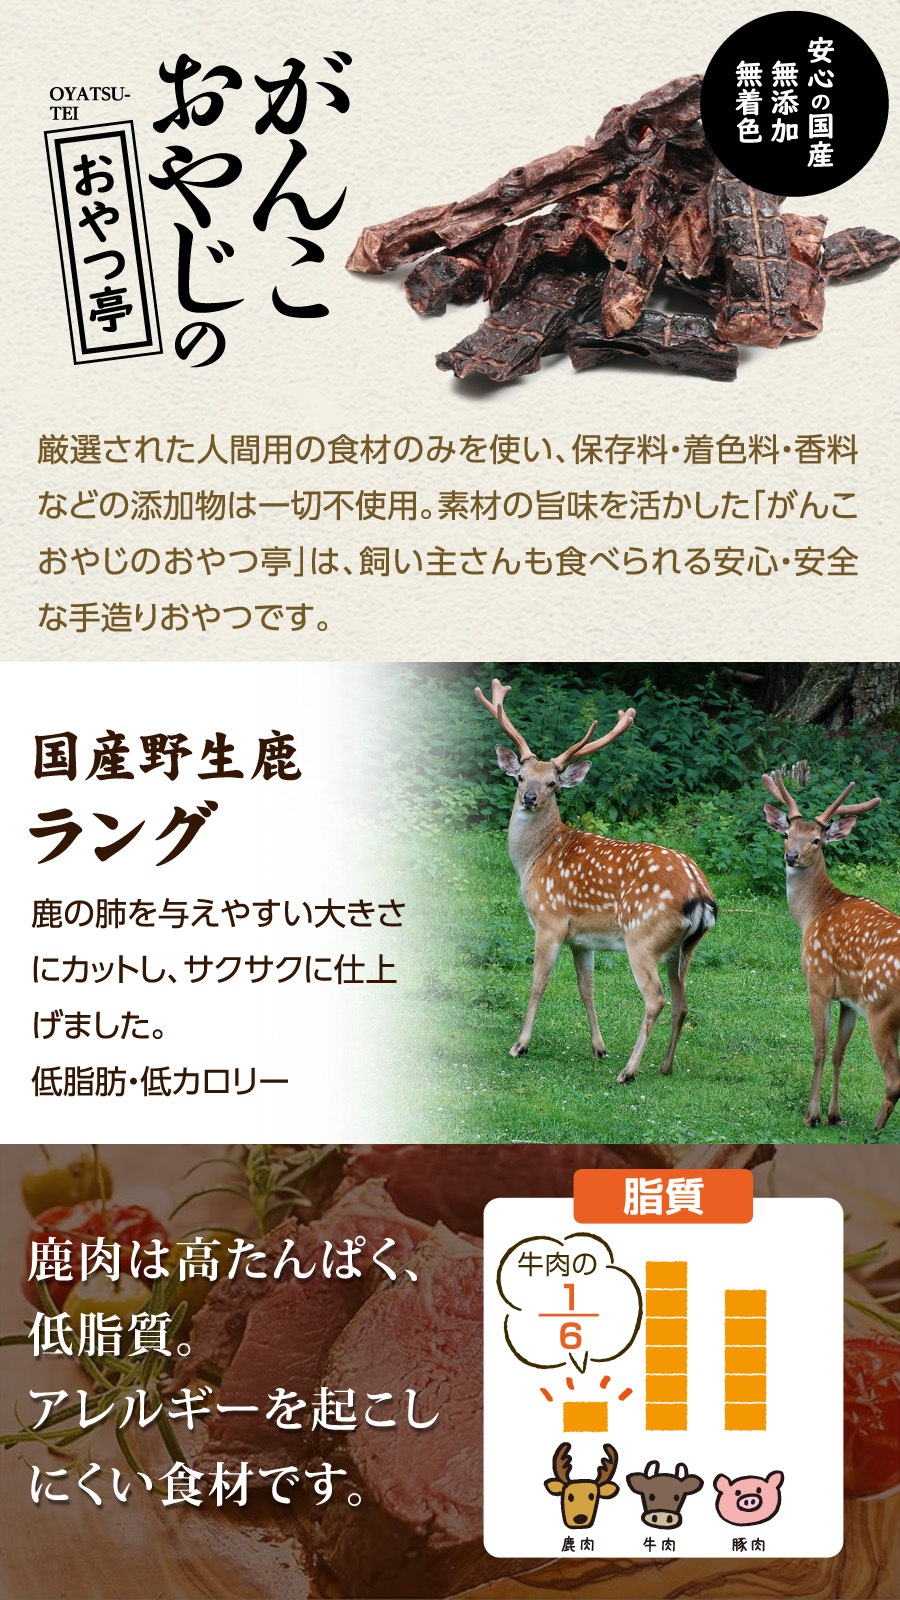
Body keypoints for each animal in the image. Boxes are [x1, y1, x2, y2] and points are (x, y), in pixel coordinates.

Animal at [475, 679, 717, 1081]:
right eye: (521, 777)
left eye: (553, 784)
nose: (529, 798)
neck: (534, 860)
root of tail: (701, 895)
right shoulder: (581, 938)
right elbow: (586, 988)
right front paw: (599, 1048)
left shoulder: (550, 921)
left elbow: (537, 984)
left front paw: (519, 1045)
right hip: (683, 948)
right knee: (682, 1002)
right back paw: (664, 1066)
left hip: (643, 937)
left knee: (656, 999)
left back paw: (629, 1071)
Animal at [762, 768, 900, 1132]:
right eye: (786, 834)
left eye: (816, 840)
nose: (791, 856)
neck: (814, 912)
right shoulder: (850, 1000)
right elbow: (839, 1051)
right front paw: (833, 1114)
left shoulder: (819, 981)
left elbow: (819, 1049)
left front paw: (811, 1114)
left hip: (882, 1007)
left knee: (894, 1079)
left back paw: (874, 1130)